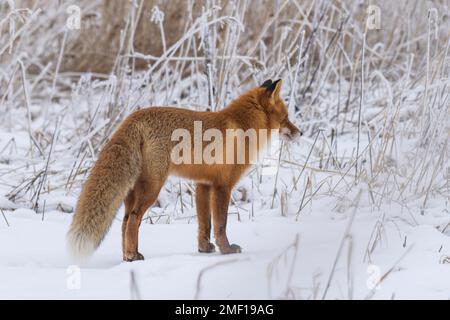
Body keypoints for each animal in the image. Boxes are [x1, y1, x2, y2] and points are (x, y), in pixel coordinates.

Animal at [67, 79, 300, 262]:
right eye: (286, 117)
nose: (300, 132)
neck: (243, 126)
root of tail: (131, 117)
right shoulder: (223, 185)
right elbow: (221, 224)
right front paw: (227, 250)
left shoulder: (204, 184)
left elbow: (204, 224)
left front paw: (204, 249)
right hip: (153, 188)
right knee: (133, 219)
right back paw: (133, 256)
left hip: (132, 191)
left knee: (125, 223)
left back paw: (128, 255)